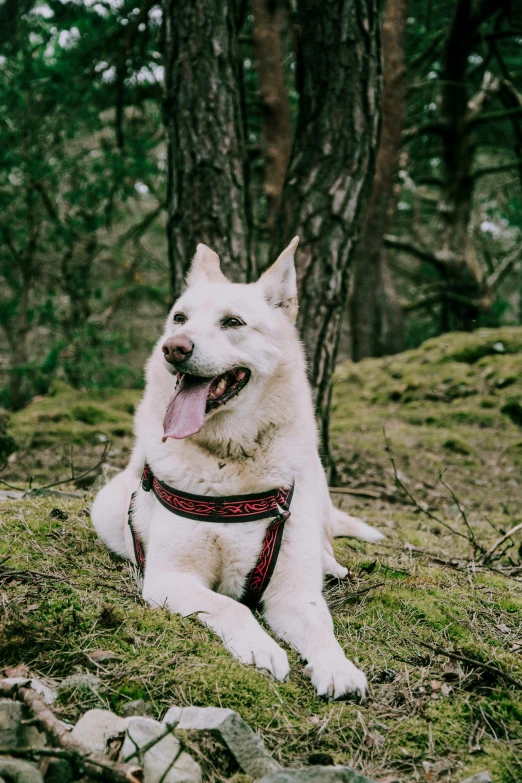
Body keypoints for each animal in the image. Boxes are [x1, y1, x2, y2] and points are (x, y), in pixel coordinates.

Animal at [91, 239, 380, 700]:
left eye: (232, 322)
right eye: (179, 318)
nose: (174, 347)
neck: (230, 461)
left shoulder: (292, 592)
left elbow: (322, 629)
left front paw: (338, 667)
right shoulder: (171, 578)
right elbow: (231, 606)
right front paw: (262, 649)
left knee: (325, 543)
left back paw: (332, 566)